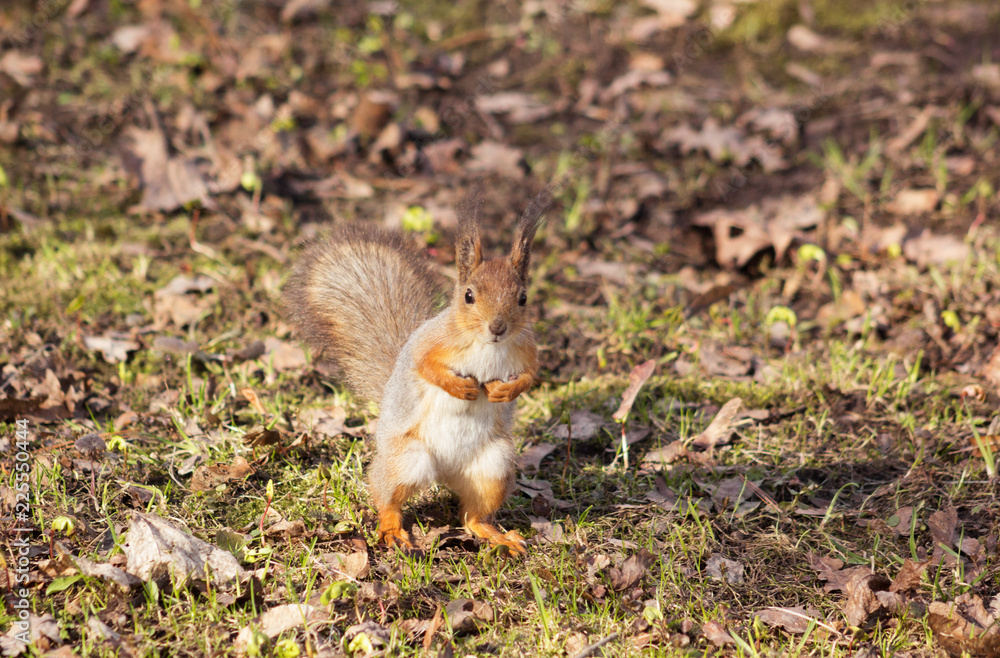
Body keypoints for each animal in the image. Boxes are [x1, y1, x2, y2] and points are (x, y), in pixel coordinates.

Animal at [284, 188, 556, 552]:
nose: (497, 327)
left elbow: (528, 377)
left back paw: (496, 536)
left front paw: (504, 390)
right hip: (405, 461)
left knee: (472, 517)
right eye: (469, 295)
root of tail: (446, 473)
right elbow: (426, 366)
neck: (489, 345)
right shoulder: (429, 343)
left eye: (523, 298)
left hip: (492, 468)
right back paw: (392, 529)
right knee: (386, 497)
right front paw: (460, 388)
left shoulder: (527, 350)